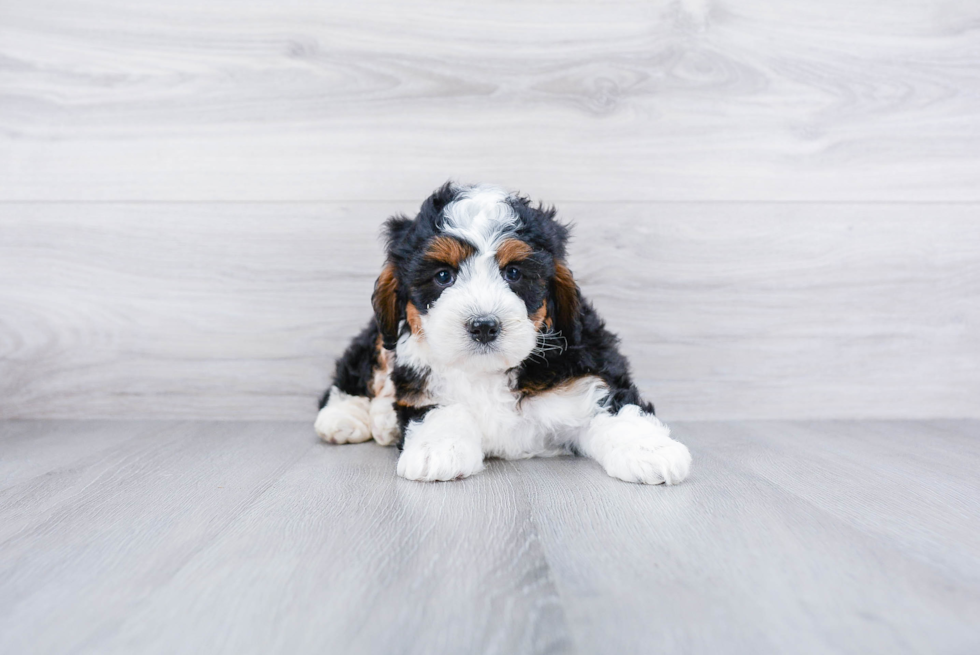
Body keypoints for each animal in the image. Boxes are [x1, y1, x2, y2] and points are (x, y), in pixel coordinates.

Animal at [318, 182, 692, 484]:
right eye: (443, 276)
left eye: (513, 273)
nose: (484, 326)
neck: (487, 371)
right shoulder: (421, 386)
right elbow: (436, 409)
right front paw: (437, 450)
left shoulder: (588, 377)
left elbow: (617, 409)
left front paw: (651, 451)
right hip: (382, 337)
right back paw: (344, 418)